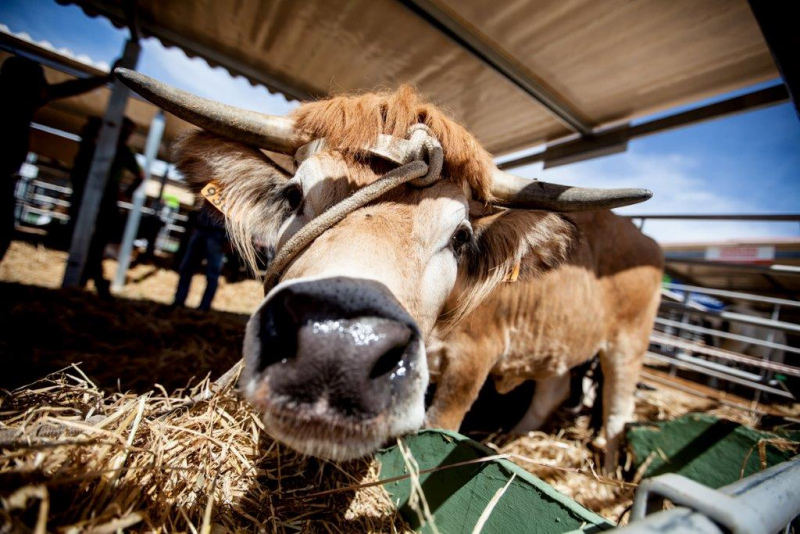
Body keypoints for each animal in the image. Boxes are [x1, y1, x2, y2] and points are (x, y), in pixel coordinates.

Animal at [424, 211, 664, 472]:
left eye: (459, 236)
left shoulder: (471, 358)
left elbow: (438, 424)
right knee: (551, 394)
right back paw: (510, 441)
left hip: (627, 347)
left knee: (617, 414)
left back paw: (608, 472)